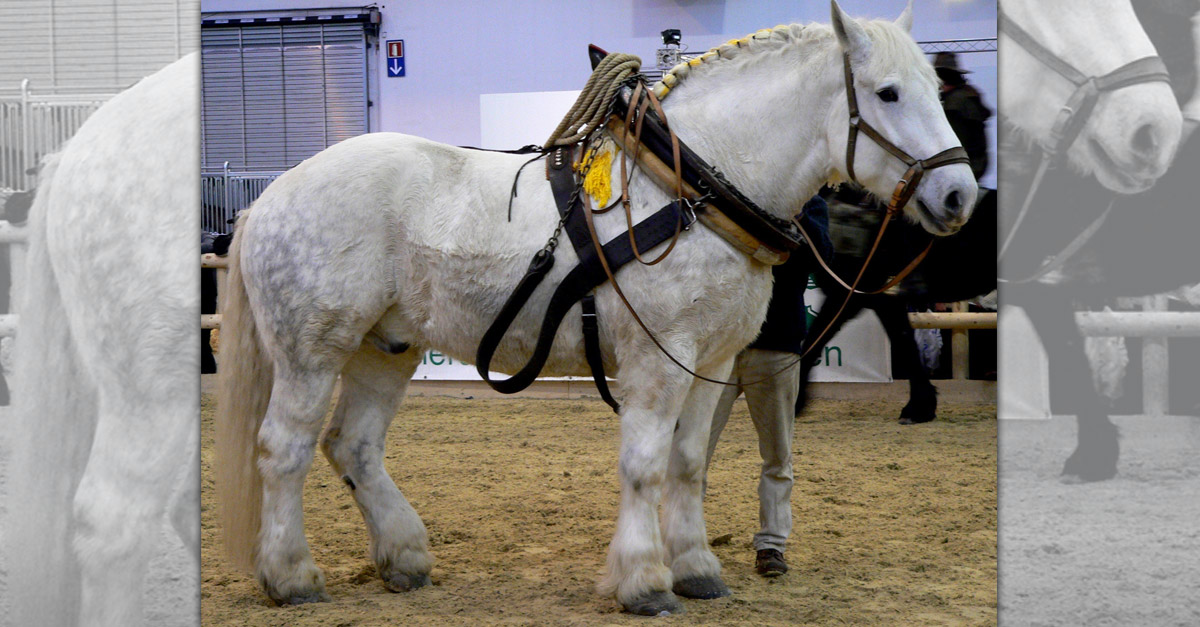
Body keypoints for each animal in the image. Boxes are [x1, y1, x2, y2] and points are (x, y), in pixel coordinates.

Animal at [216, 2, 974, 612]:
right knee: (283, 449)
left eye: (937, 90)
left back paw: (404, 557)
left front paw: (696, 567)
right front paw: (644, 581)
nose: (960, 195)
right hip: (313, 353)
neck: (692, 185)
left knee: (355, 446)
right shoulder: (658, 358)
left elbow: (688, 462)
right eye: (887, 92)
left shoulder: (712, 360)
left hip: (386, 347)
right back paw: (291, 576)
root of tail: (274, 193)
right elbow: (644, 463)